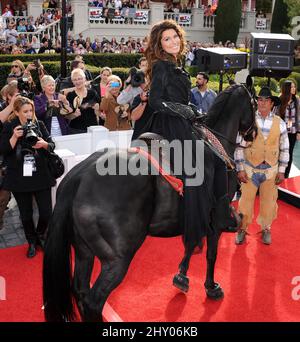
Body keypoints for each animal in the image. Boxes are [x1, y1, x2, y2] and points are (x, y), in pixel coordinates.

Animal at [43, 82, 256, 320]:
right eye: (254, 103)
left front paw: (182, 276)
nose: (253, 133)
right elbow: (211, 254)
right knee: (93, 302)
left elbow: (191, 244)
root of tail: (78, 175)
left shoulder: (195, 216)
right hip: (116, 259)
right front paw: (210, 287)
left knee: (80, 290)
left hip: (83, 251)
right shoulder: (214, 221)